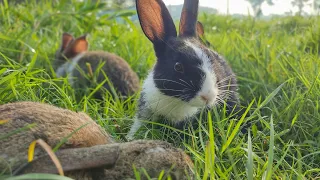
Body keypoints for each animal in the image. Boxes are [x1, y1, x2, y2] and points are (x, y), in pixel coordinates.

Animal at [126, 0, 241, 140]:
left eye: (212, 59)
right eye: (178, 67)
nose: (208, 96)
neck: (176, 100)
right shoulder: (145, 108)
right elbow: (139, 124)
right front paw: (130, 138)